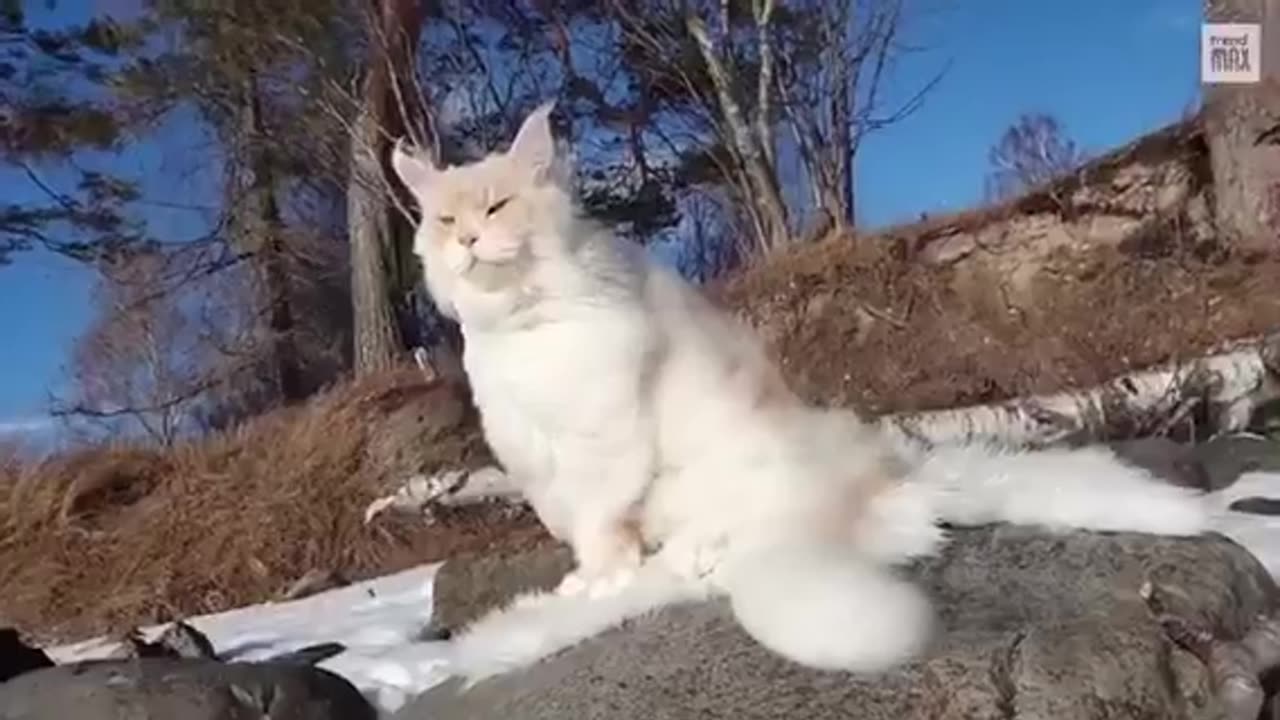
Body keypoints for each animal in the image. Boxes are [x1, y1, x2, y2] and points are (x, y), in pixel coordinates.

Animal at [391, 101, 1208, 676]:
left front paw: (600, 583)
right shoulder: (538, 461)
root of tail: (902, 483)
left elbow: (599, 532)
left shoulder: (603, 443)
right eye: (445, 219)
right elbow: (574, 531)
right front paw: (583, 585)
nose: (466, 241)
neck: (524, 325)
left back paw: (681, 562)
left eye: (496, 208)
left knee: (715, 555)